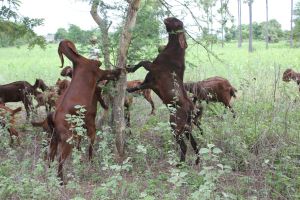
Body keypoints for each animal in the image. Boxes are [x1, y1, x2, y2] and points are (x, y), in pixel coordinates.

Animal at [48, 39, 121, 184]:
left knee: (50, 156)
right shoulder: (99, 73)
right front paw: (120, 71)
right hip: (68, 140)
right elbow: (109, 72)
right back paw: (61, 181)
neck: (79, 62)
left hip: (54, 139)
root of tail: (54, 118)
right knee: (61, 159)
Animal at [126, 17, 199, 166]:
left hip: (175, 126)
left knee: (184, 146)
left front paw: (129, 74)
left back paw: (180, 164)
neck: (174, 49)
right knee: (195, 144)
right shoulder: (150, 82)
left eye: (176, 21)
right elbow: (141, 83)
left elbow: (141, 64)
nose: (167, 17)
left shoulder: (152, 71)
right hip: (187, 128)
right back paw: (197, 161)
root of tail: (191, 109)